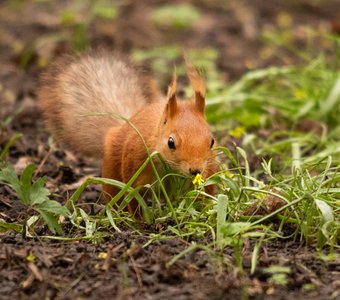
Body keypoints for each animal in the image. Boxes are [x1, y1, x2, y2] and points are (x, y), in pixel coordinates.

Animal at [37, 50, 218, 214]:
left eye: (212, 141)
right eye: (171, 142)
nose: (196, 170)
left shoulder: (209, 171)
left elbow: (203, 194)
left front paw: (203, 209)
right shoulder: (135, 164)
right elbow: (134, 198)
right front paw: (140, 221)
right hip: (111, 167)